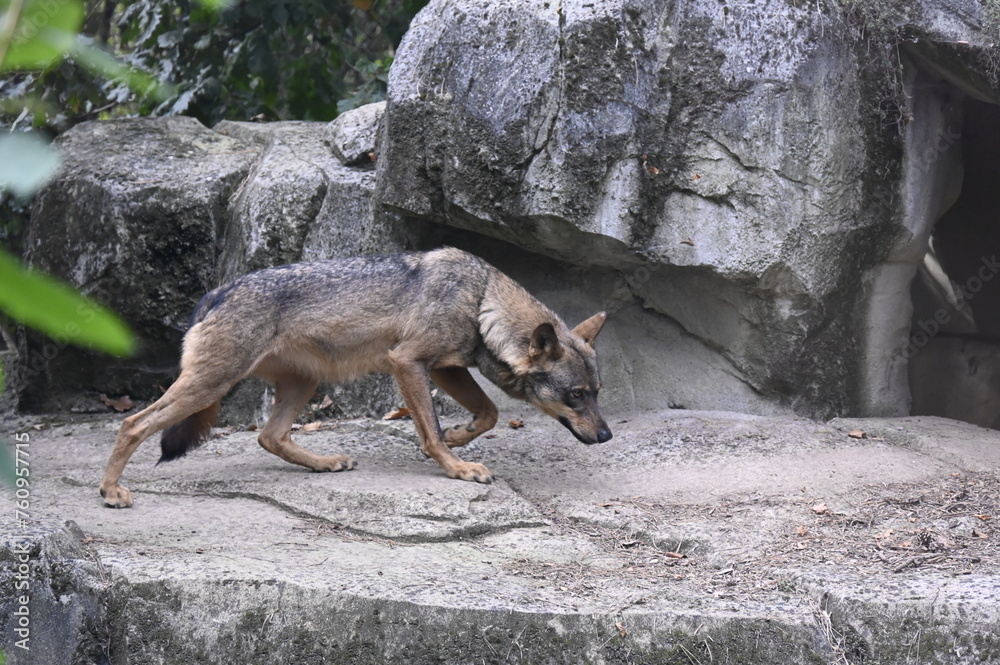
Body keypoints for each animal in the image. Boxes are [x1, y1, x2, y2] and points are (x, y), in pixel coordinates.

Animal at [97, 246, 608, 506]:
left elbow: (487, 415)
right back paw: (111, 491)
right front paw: (457, 466)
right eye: (576, 395)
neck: (482, 301)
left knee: (269, 436)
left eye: (597, 393)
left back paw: (326, 463)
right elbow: (432, 430)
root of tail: (215, 293)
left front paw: (459, 438)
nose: (606, 436)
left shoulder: (444, 368)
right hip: (211, 386)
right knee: (133, 424)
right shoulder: (407, 361)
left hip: (301, 385)